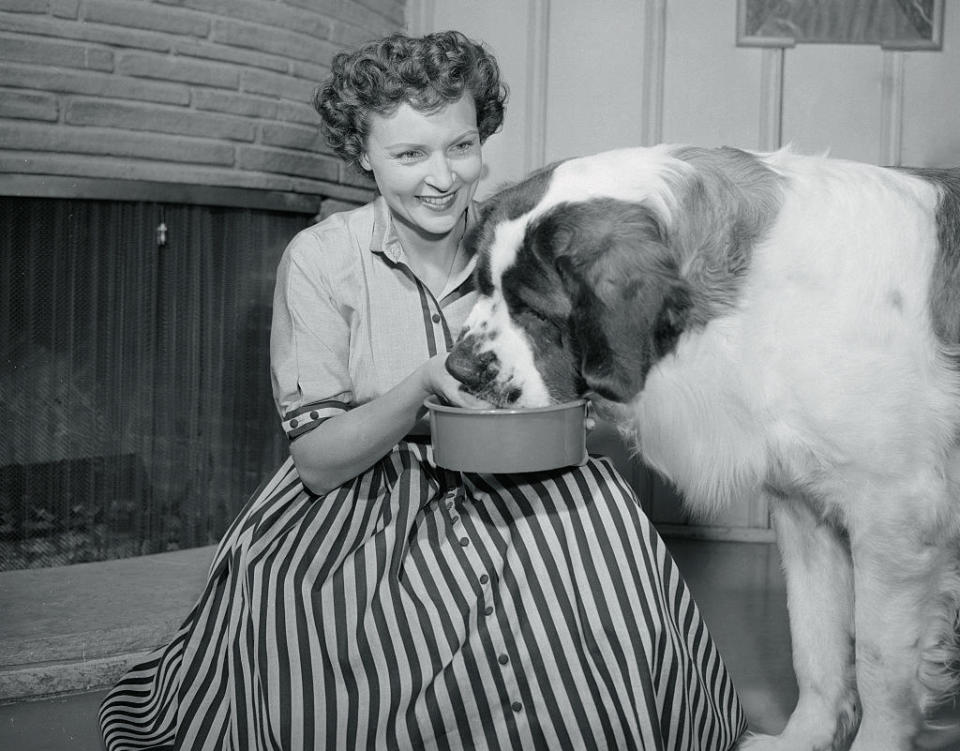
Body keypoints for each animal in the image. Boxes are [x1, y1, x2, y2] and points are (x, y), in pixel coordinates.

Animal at [448, 142, 960, 751]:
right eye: (483, 287)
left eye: (534, 309)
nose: (457, 368)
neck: (753, 301)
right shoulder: (805, 512)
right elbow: (815, 643)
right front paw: (803, 738)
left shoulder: (895, 521)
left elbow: (881, 669)